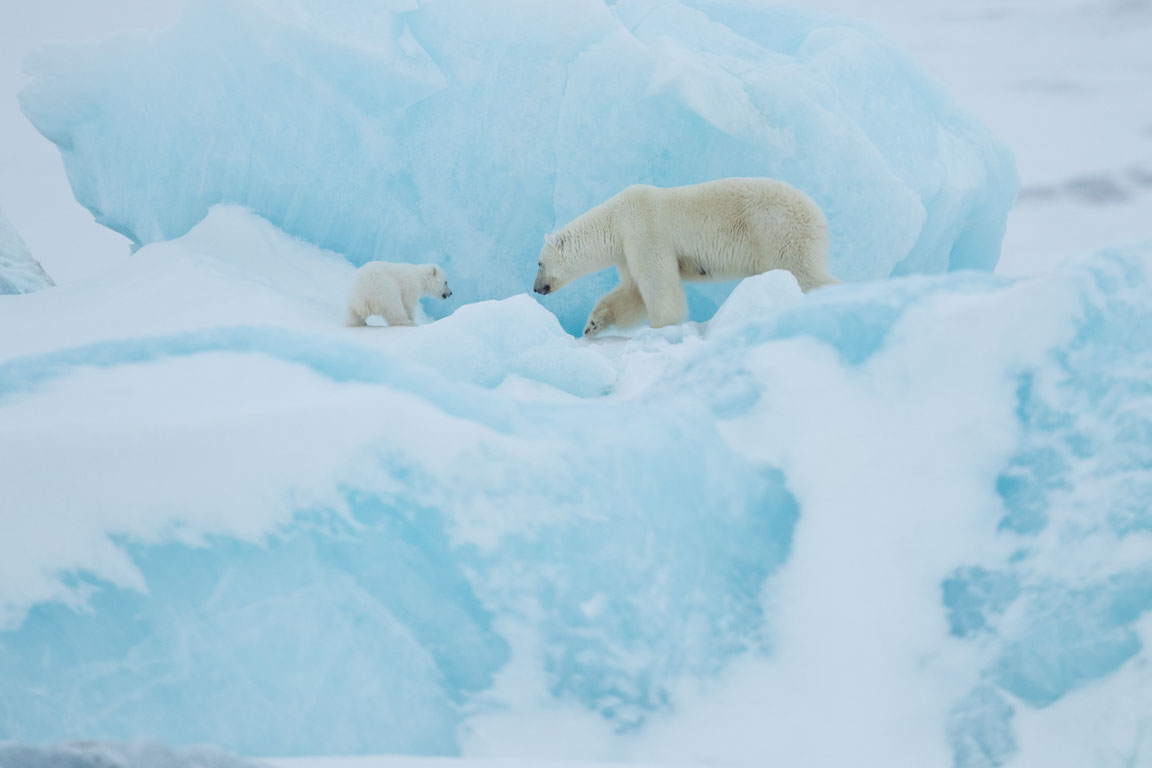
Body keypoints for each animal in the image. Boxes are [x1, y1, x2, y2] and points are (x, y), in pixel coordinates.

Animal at [529, 181, 838, 338]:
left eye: (539, 263)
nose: (536, 288)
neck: (615, 219)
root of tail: (818, 216)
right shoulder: (627, 250)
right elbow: (631, 292)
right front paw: (593, 324)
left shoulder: (645, 230)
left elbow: (657, 282)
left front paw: (662, 327)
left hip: (777, 230)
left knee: (802, 271)